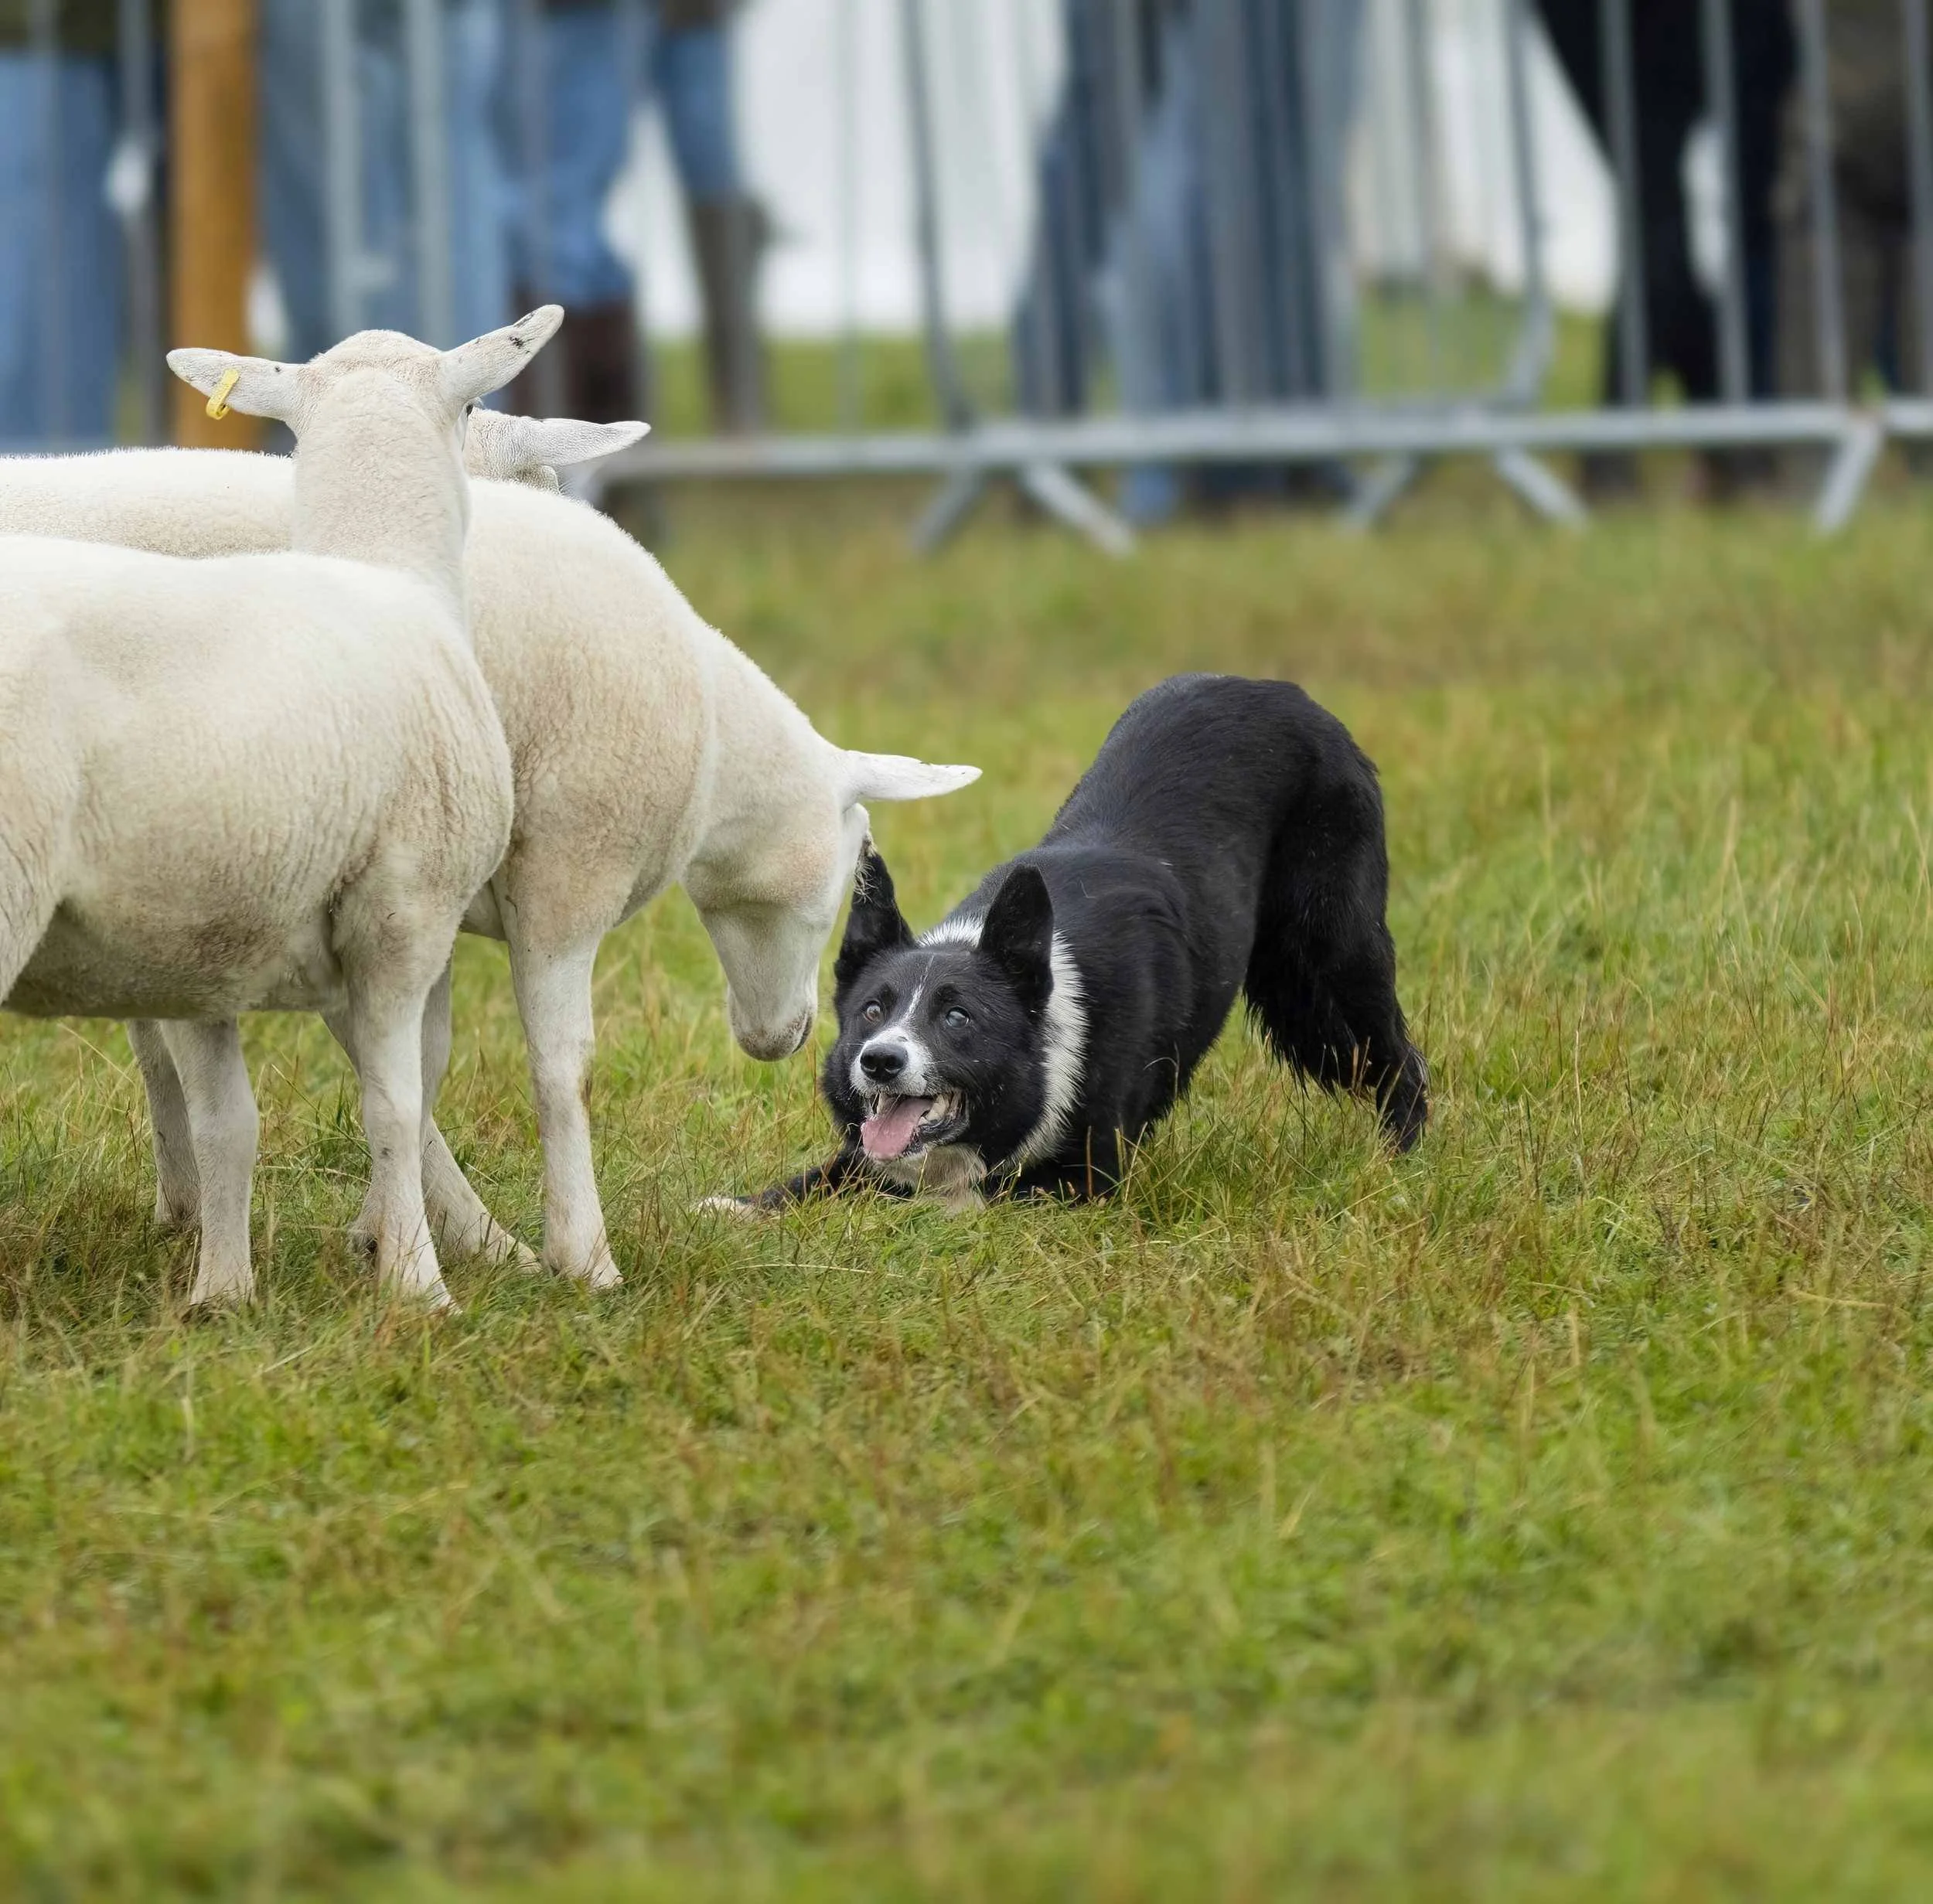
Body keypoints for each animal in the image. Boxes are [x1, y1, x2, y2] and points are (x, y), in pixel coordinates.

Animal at [0, 312, 566, 1308]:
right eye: (472, 408)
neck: (376, 563)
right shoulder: (402, 910)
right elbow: (400, 1098)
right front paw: (420, 1279)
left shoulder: (190, 931)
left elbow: (225, 1115)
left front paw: (221, 1290)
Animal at [0, 423, 979, 1292]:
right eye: (841, 890)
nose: (785, 1040)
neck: (712, 743)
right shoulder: (555, 877)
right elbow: (556, 1071)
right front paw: (569, 1255)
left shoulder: (390, 895)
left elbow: (406, 1073)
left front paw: (387, 1232)